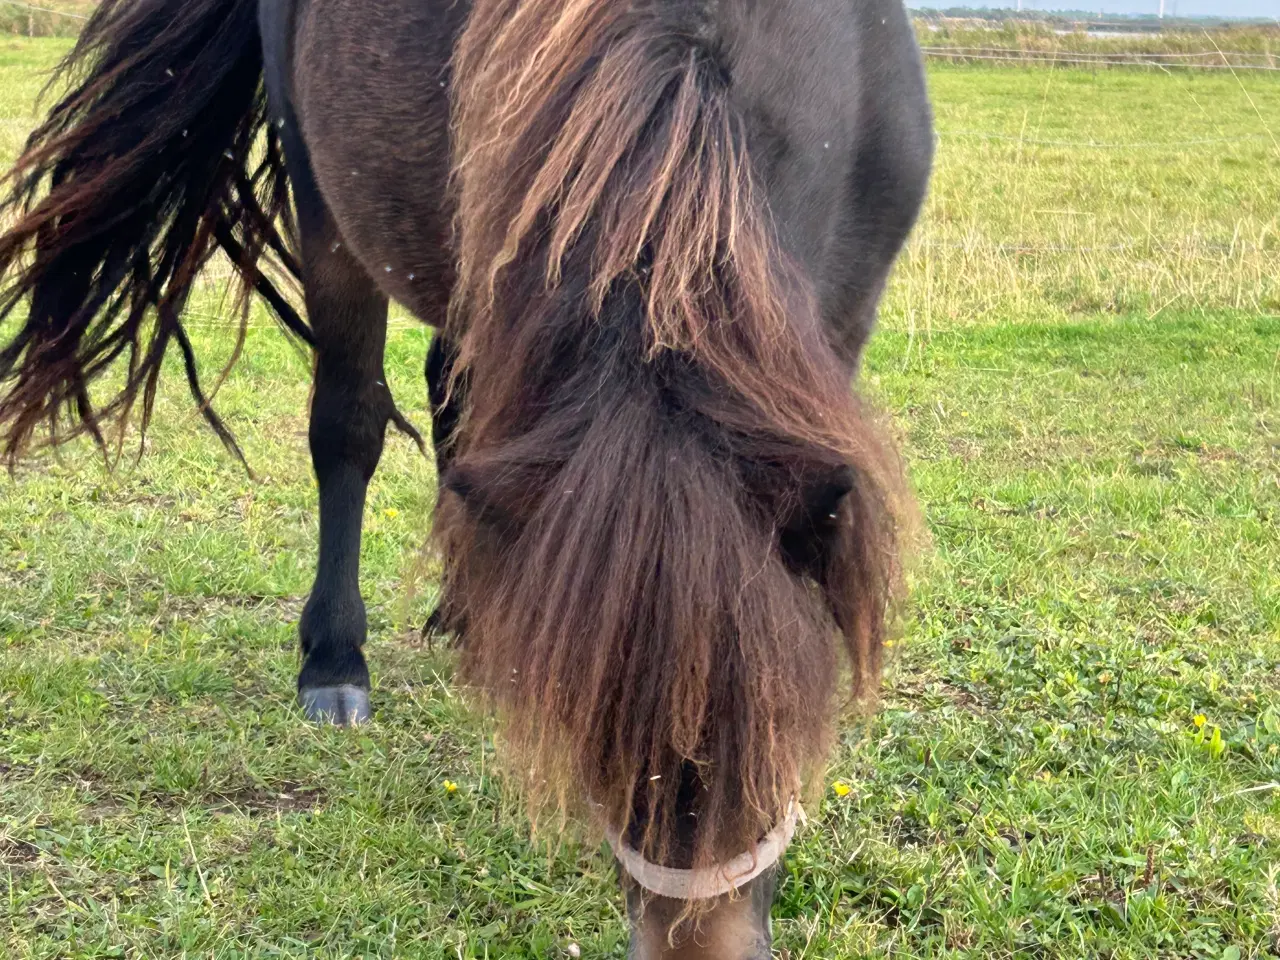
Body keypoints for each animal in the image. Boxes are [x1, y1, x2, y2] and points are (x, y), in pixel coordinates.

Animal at [0, 0, 931, 957]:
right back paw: (339, 658)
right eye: (593, 739)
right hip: (334, 212)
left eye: (791, 727)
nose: (697, 944)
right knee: (350, 425)